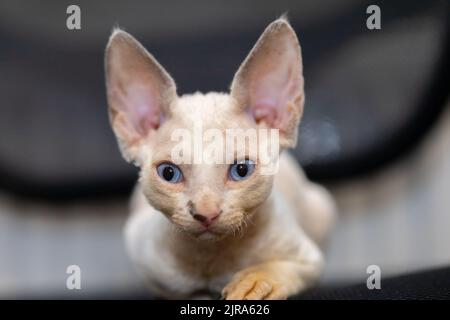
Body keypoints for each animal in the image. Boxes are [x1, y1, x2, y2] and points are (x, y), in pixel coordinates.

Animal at [105, 16, 336, 298]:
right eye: (169, 173)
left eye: (241, 170)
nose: (206, 214)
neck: (211, 259)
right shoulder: (149, 266)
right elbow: (181, 293)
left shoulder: (309, 258)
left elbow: (284, 267)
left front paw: (255, 282)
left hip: (321, 207)